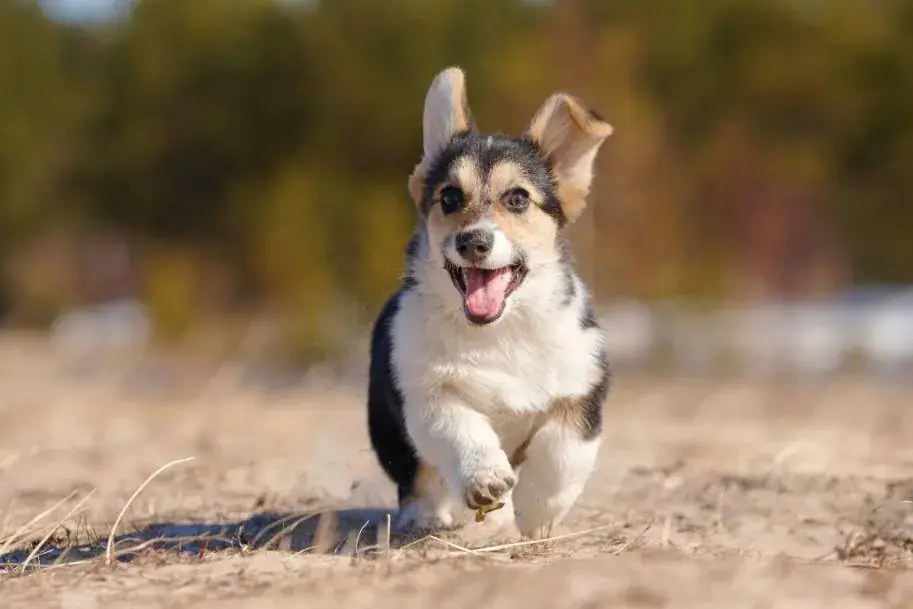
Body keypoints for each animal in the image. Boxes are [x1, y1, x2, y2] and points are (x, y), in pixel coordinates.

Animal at [366, 66, 612, 540]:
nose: (473, 242)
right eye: (449, 198)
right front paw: (486, 479)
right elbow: (461, 430)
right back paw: (424, 516)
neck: (500, 332)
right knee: (417, 477)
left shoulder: (581, 391)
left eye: (517, 198)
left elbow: (560, 454)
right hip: (387, 426)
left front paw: (536, 513)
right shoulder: (426, 395)